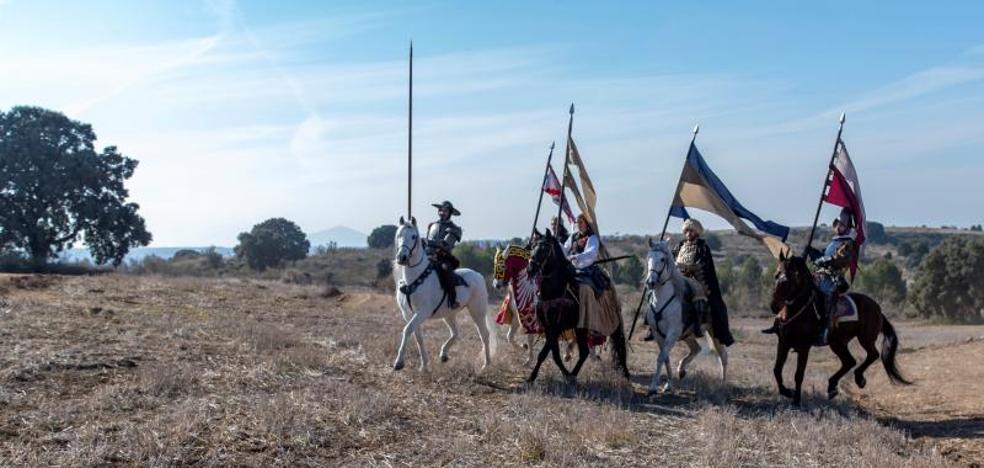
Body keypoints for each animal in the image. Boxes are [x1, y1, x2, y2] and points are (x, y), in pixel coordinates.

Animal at [392, 217, 496, 372]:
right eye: (398, 235)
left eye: (414, 236)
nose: (402, 257)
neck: (414, 279)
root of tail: (478, 275)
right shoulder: (408, 314)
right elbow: (418, 337)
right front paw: (424, 365)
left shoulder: (422, 313)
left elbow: (407, 330)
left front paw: (399, 362)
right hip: (449, 315)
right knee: (455, 333)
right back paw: (444, 354)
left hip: (477, 312)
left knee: (484, 334)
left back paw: (486, 364)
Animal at [528, 229, 628, 386]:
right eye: (532, 246)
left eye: (545, 248)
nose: (531, 268)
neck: (555, 291)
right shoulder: (549, 327)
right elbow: (555, 354)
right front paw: (566, 374)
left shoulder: (556, 327)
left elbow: (543, 353)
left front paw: (531, 378)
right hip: (580, 328)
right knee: (585, 351)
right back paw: (573, 375)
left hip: (605, 325)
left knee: (617, 344)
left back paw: (624, 373)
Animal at [640, 238, 728, 394]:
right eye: (648, 257)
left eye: (662, 259)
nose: (650, 282)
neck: (662, 299)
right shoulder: (658, 334)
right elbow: (666, 358)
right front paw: (668, 384)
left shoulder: (672, 333)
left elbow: (661, 357)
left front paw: (653, 387)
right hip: (688, 334)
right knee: (696, 349)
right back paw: (681, 370)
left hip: (714, 332)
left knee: (722, 355)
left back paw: (722, 383)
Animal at [772, 252, 912, 406]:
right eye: (777, 275)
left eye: (792, 276)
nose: (774, 305)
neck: (798, 310)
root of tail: (877, 309)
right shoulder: (783, 343)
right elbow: (777, 370)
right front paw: (787, 392)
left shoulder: (804, 347)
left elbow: (799, 374)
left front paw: (796, 400)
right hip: (838, 343)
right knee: (849, 361)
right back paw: (832, 386)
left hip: (865, 338)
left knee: (872, 355)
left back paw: (858, 378)